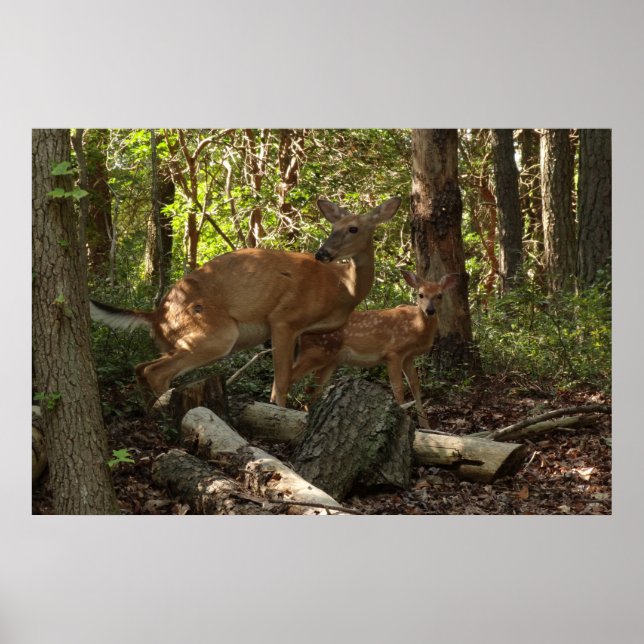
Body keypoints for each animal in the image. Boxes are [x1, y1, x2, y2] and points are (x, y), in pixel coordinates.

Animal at [89, 196, 400, 408]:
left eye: (353, 229)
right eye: (333, 226)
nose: (322, 253)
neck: (343, 287)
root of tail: (156, 315)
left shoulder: (302, 333)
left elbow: (286, 380)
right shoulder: (284, 318)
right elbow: (282, 380)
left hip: (176, 340)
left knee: (141, 366)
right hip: (217, 333)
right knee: (155, 372)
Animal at [289, 270, 459, 427]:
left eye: (439, 295)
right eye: (420, 294)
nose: (430, 311)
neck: (416, 326)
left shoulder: (408, 357)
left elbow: (415, 386)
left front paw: (426, 426)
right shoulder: (393, 352)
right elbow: (398, 388)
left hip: (329, 361)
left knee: (312, 390)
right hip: (316, 352)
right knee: (290, 376)